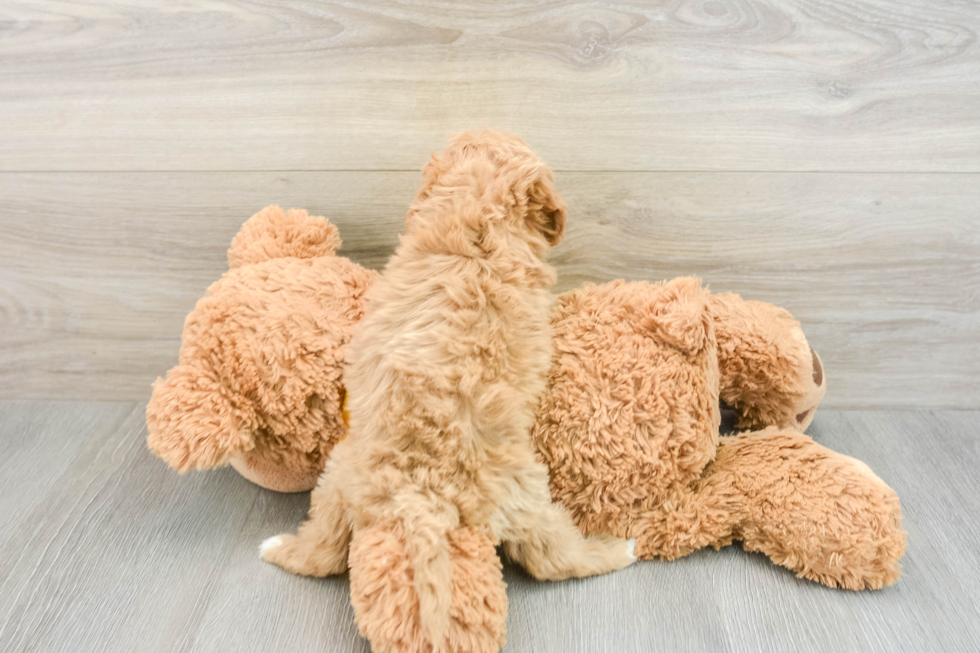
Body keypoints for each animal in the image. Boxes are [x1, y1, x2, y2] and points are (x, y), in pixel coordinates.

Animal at [260, 131, 636, 648]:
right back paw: (621, 550)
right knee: (553, 559)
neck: (477, 220)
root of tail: (421, 493)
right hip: (520, 492)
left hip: (342, 480)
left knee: (324, 552)